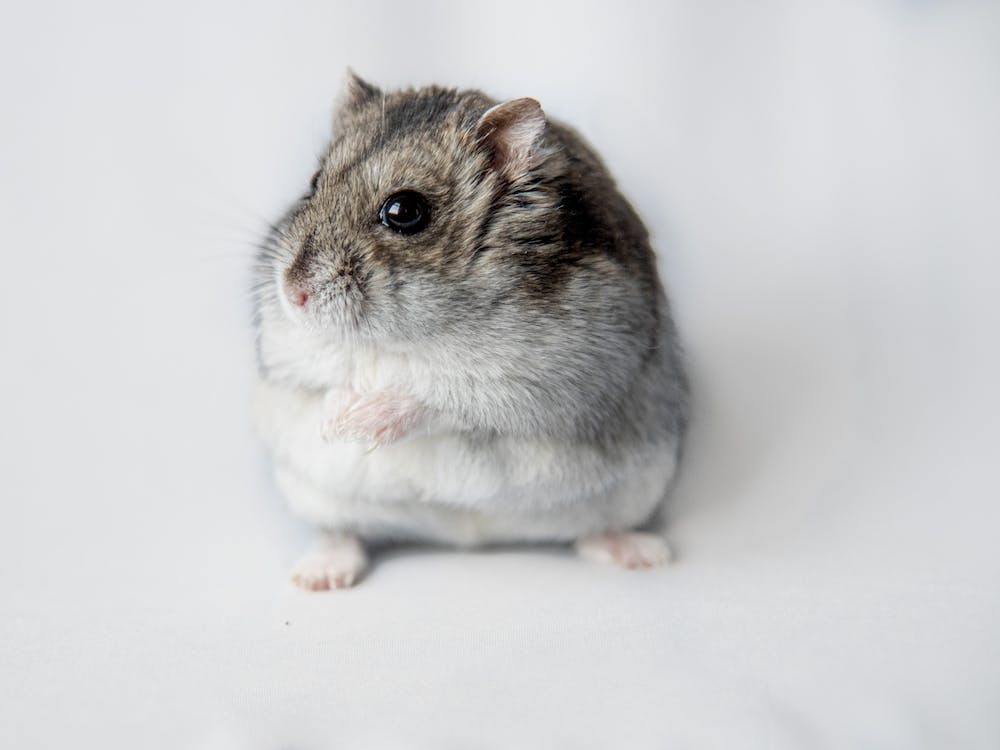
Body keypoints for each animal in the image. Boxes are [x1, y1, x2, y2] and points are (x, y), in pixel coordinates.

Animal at [253, 72, 689, 590]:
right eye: (314, 183)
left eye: (404, 211)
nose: (292, 293)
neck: (410, 333)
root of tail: (465, 536)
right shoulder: (284, 347)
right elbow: (320, 379)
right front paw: (335, 420)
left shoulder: (540, 375)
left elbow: (438, 394)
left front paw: (363, 418)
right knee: (341, 531)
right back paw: (319, 575)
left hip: (637, 487)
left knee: (594, 530)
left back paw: (644, 553)